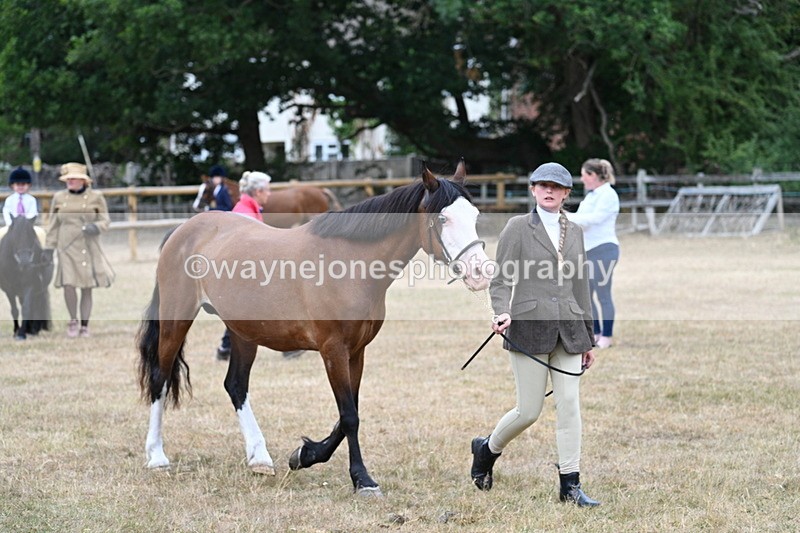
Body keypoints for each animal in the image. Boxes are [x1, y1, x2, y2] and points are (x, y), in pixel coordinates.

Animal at [137, 160, 490, 496]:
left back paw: (259, 457)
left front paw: (305, 455)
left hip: (243, 331)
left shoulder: (356, 352)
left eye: (474, 215)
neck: (350, 263)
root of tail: (183, 230)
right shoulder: (333, 350)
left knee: (236, 385)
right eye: (442, 219)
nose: (480, 272)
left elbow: (348, 412)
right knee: (160, 379)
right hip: (176, 319)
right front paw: (362, 479)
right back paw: (156, 456)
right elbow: (349, 416)